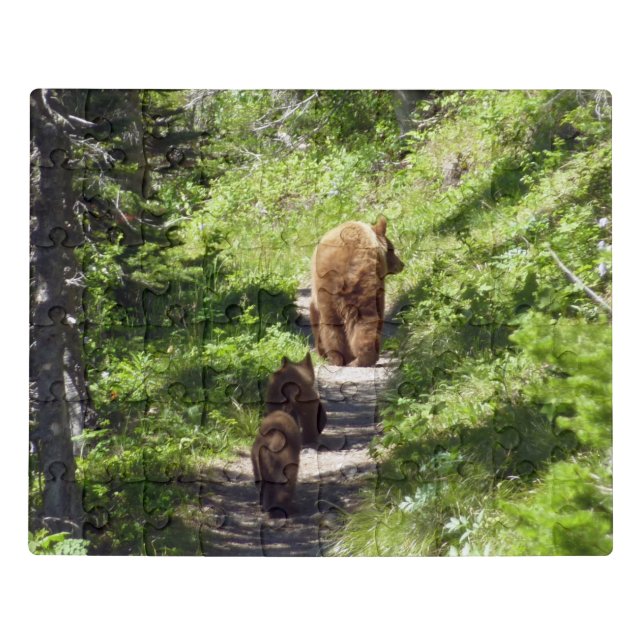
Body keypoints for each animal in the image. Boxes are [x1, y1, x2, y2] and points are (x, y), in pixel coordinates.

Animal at [310, 216, 404, 367]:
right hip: (357, 286)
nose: (402, 264)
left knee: (336, 323)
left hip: (335, 287)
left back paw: (344, 358)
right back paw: (359, 358)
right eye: (393, 249)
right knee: (362, 320)